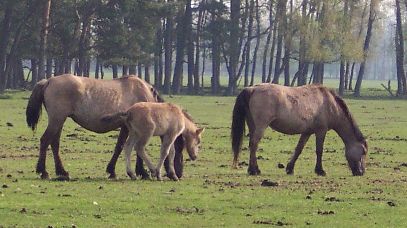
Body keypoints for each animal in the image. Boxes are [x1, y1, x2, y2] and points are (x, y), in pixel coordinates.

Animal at [25, 74, 183, 181]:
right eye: (180, 151)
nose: (178, 174)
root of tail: (48, 81)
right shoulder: (131, 128)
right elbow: (124, 148)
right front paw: (140, 172)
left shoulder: (130, 128)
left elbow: (124, 147)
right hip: (57, 120)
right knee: (45, 141)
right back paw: (43, 172)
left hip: (59, 121)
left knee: (54, 143)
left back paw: (62, 172)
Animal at [233, 83, 370, 176]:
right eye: (363, 152)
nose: (361, 172)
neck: (330, 103)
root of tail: (252, 89)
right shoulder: (321, 131)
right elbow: (319, 151)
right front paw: (320, 170)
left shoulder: (307, 132)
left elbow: (299, 149)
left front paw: (290, 168)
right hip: (261, 126)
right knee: (254, 144)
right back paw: (254, 170)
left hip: (253, 125)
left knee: (252, 145)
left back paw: (252, 169)